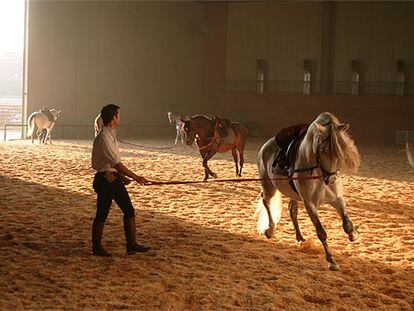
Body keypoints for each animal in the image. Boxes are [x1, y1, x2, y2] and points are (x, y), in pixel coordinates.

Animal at [258, 111, 360, 270]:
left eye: (338, 152)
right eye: (322, 150)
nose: (331, 179)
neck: (317, 173)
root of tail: (265, 146)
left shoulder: (337, 199)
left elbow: (347, 224)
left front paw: (353, 235)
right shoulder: (310, 204)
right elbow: (321, 232)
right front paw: (331, 261)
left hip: (293, 195)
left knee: (292, 211)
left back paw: (299, 237)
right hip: (269, 187)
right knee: (266, 200)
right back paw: (270, 230)